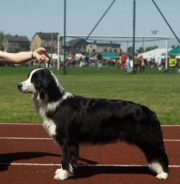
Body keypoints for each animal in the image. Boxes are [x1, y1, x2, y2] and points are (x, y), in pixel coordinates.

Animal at [17, 68, 169, 180]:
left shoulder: (67, 139)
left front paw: (63, 174)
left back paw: (164, 174)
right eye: (28, 76)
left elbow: (65, 157)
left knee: (162, 154)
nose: (18, 85)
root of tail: (149, 111)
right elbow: (70, 158)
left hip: (146, 138)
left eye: (34, 79)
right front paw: (65, 171)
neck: (55, 101)